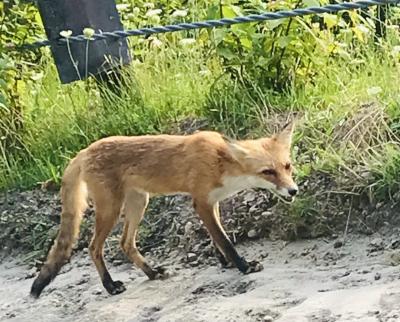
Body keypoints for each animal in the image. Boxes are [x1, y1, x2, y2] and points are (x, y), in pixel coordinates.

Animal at [30, 122, 296, 298]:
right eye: (268, 172)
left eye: (287, 166)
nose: (293, 191)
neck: (222, 162)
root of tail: (85, 151)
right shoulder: (201, 203)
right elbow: (225, 241)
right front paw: (244, 266)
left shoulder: (214, 202)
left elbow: (218, 239)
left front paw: (226, 262)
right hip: (111, 210)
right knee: (94, 247)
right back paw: (110, 286)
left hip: (139, 203)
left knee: (126, 244)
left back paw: (151, 273)